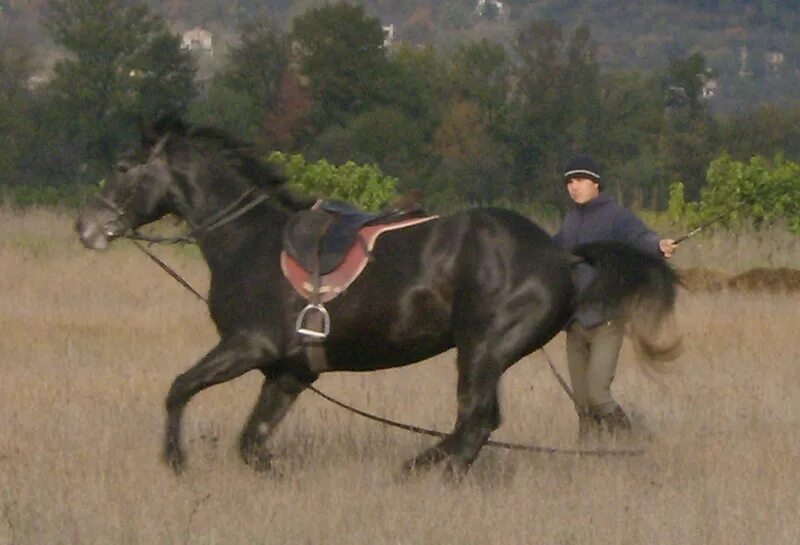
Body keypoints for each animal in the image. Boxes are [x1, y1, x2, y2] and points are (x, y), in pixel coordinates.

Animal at [75, 119, 680, 476]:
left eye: (123, 167)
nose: (87, 227)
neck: (248, 241)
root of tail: (561, 254)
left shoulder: (247, 346)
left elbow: (179, 389)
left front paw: (174, 461)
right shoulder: (290, 371)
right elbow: (252, 441)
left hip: (482, 348)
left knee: (475, 421)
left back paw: (419, 470)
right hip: (485, 352)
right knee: (476, 424)